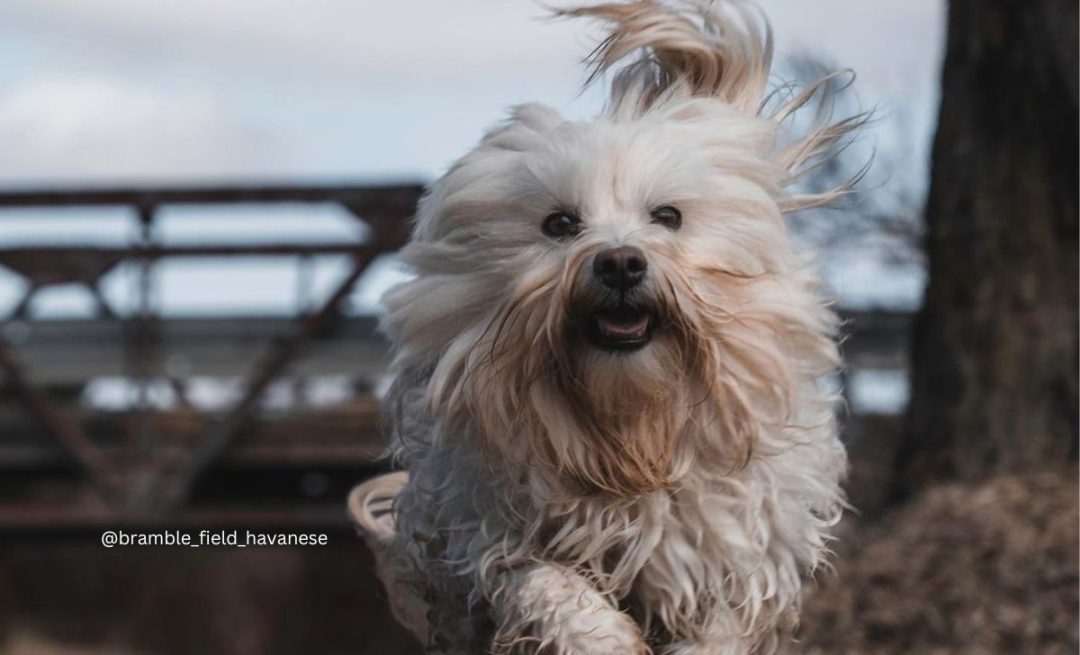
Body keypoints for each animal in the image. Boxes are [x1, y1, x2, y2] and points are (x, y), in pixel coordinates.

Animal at [349, 2, 864, 652]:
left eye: (667, 216)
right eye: (560, 224)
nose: (620, 262)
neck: (629, 432)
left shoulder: (740, 554)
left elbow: (720, 622)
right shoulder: (494, 536)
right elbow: (555, 590)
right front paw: (604, 639)